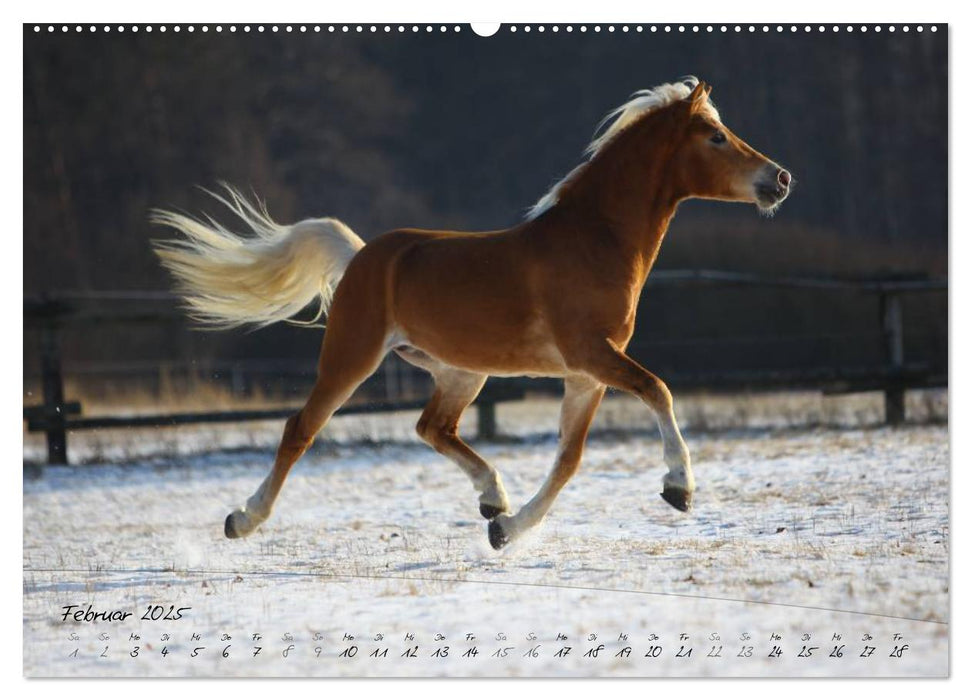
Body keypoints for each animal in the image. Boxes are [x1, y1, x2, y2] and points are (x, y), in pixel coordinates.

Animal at [152, 75, 788, 548]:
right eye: (716, 136)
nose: (779, 179)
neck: (594, 241)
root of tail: (362, 256)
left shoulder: (586, 375)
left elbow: (569, 459)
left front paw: (508, 530)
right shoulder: (593, 355)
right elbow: (659, 390)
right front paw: (680, 489)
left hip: (461, 371)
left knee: (432, 428)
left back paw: (492, 499)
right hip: (352, 358)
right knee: (300, 430)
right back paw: (242, 519)